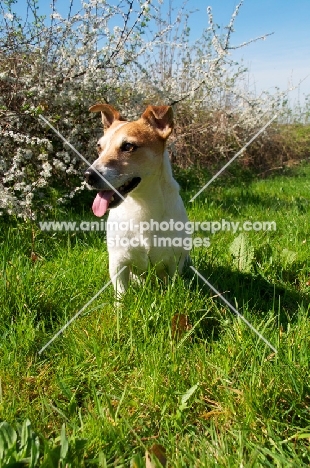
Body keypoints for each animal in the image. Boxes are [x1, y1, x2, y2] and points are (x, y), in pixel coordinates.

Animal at [85, 104, 191, 294]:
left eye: (128, 146)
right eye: (99, 147)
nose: (88, 175)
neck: (142, 204)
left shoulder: (175, 261)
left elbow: (173, 286)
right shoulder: (118, 263)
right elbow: (121, 293)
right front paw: (121, 302)